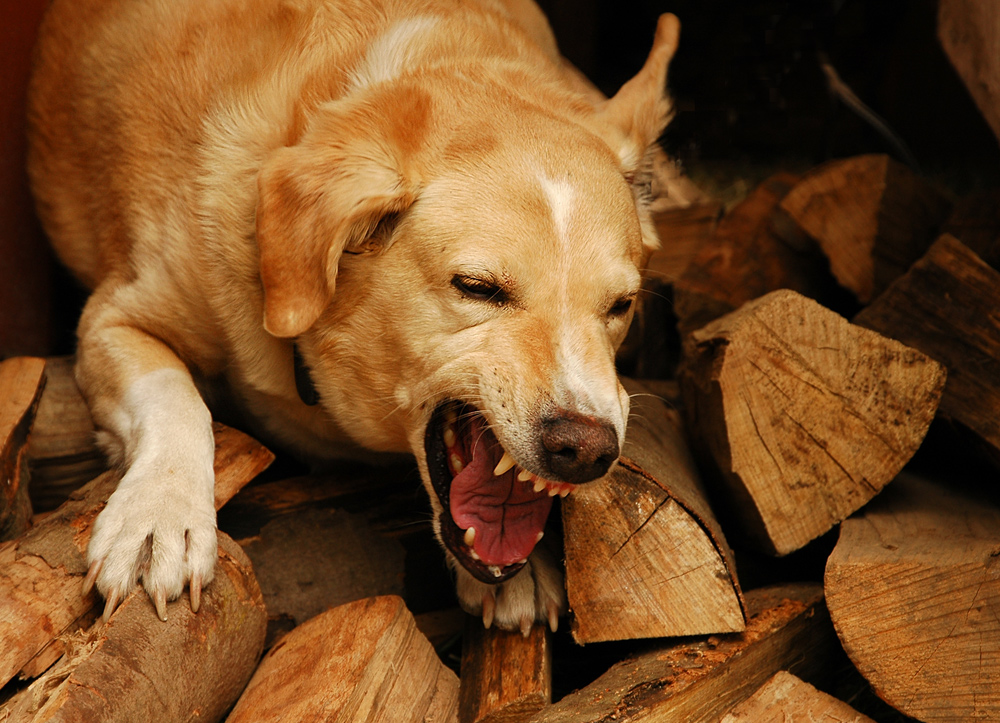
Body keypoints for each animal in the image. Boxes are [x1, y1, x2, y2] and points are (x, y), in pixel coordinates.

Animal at [27, 0, 680, 632]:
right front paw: (159, 516)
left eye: (620, 306)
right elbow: (176, 397)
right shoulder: (110, 320)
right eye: (477, 287)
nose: (588, 449)